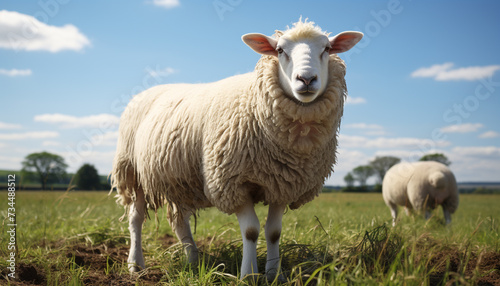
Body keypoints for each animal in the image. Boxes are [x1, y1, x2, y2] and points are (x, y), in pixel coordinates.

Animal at [110, 19, 364, 280]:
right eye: (280, 50)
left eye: (327, 48)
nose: (306, 79)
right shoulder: (232, 183)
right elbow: (251, 231)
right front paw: (248, 275)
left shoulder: (283, 185)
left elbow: (274, 232)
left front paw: (274, 274)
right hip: (131, 171)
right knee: (135, 218)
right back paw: (135, 264)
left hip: (178, 179)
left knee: (179, 221)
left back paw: (193, 262)